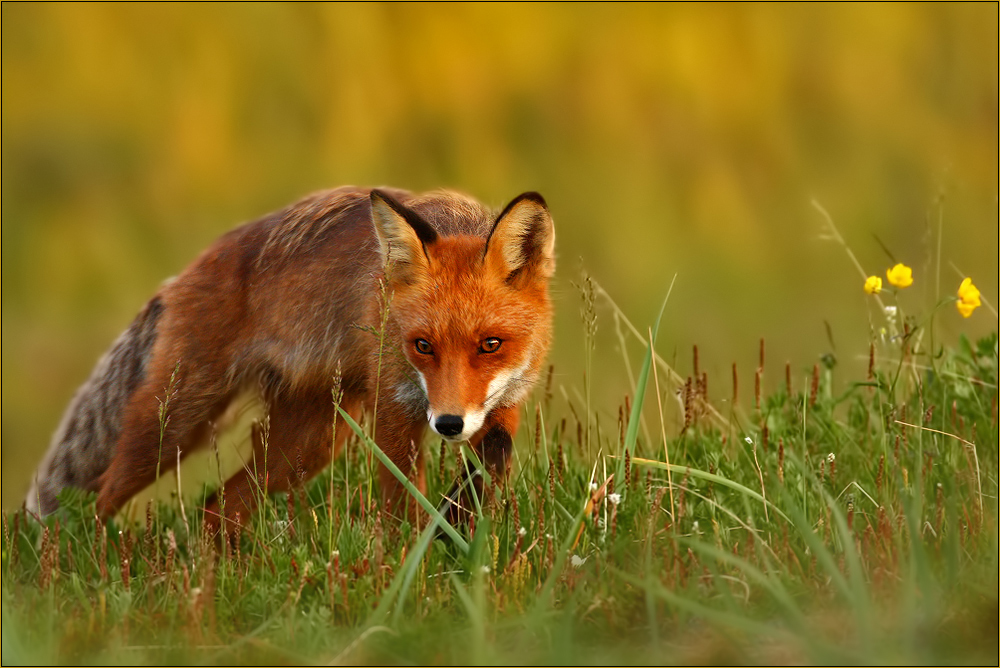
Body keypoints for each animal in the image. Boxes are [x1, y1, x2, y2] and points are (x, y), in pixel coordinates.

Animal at [25, 187, 556, 532]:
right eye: (422, 346)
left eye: (491, 345)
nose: (448, 424)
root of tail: (180, 277)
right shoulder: (392, 409)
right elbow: (401, 502)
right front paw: (413, 568)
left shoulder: (504, 402)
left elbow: (496, 456)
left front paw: (460, 519)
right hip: (173, 429)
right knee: (101, 498)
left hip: (308, 444)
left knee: (217, 506)